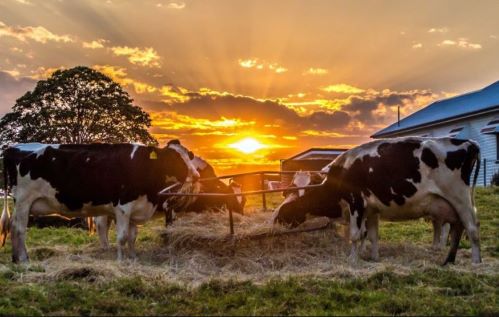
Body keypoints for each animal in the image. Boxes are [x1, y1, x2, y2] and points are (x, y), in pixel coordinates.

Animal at [0, 143, 199, 262]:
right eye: (173, 158)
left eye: (188, 156)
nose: (196, 175)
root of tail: (14, 147)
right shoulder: (123, 208)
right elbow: (122, 237)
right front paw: (120, 260)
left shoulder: (136, 208)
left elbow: (132, 237)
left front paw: (133, 257)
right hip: (24, 200)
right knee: (19, 228)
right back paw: (24, 259)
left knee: (13, 226)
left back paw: (15, 258)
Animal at [272, 137, 482, 262]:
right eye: (288, 191)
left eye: (299, 196)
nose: (276, 216)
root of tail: (467, 142)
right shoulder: (371, 210)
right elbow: (371, 235)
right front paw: (374, 258)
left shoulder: (356, 203)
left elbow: (356, 235)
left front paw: (352, 260)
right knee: (456, 228)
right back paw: (449, 259)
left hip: (460, 198)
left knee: (472, 228)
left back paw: (476, 262)